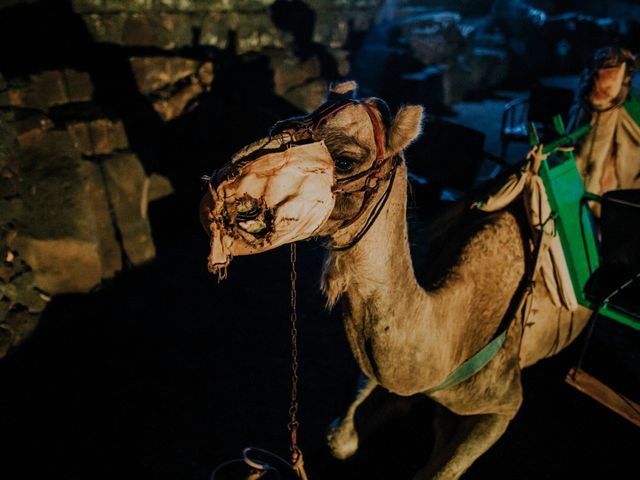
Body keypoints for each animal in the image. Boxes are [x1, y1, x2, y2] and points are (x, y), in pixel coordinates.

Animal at [199, 80, 592, 478]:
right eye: (278, 127)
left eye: (344, 160)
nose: (221, 194)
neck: (453, 339)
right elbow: (341, 439)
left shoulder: (502, 404)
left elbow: (441, 468)